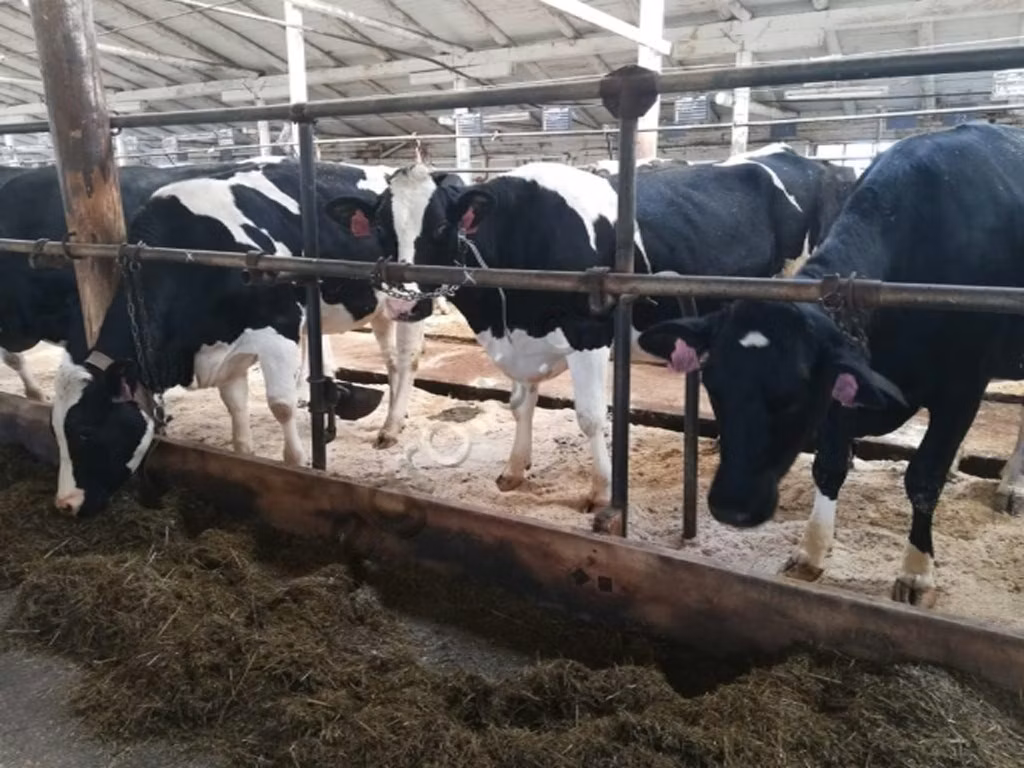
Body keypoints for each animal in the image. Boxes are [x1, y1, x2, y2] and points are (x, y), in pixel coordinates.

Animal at [48, 158, 408, 518]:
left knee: (403, 360)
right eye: (54, 429)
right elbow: (235, 405)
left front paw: (297, 465)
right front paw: (244, 460)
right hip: (378, 308)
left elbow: (280, 405)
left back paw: (391, 429)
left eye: (85, 432)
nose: (65, 504)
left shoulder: (281, 328)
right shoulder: (225, 350)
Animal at [636, 121, 1024, 608]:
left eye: (795, 392)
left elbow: (923, 478)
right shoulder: (845, 380)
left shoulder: (963, 387)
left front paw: (917, 572)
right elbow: (829, 465)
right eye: (712, 385)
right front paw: (812, 550)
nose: (730, 506)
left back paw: (1010, 486)